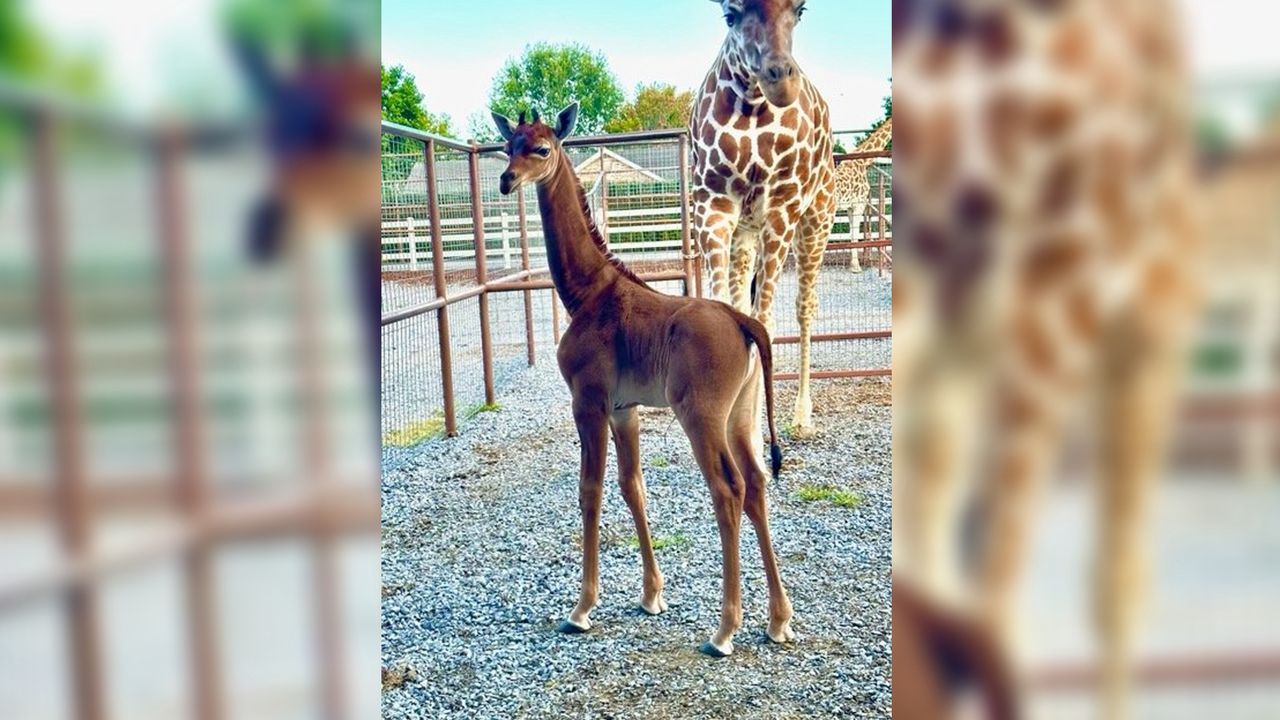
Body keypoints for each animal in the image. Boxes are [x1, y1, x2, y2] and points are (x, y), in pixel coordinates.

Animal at [494, 102, 793, 655]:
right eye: (509, 146)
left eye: (542, 148)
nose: (507, 180)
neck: (587, 293)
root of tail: (745, 323)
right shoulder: (623, 409)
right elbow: (633, 485)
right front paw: (652, 595)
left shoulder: (588, 402)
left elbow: (590, 490)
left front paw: (582, 608)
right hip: (741, 416)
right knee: (758, 485)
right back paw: (778, 620)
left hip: (701, 416)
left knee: (729, 489)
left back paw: (724, 631)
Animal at [691, 0, 839, 435]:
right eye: (730, 14)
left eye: (801, 10)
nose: (780, 80)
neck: (752, 106)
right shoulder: (713, 206)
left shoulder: (782, 208)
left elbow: (765, 323)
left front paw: (754, 435)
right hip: (746, 233)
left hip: (816, 221)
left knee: (805, 307)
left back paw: (802, 416)